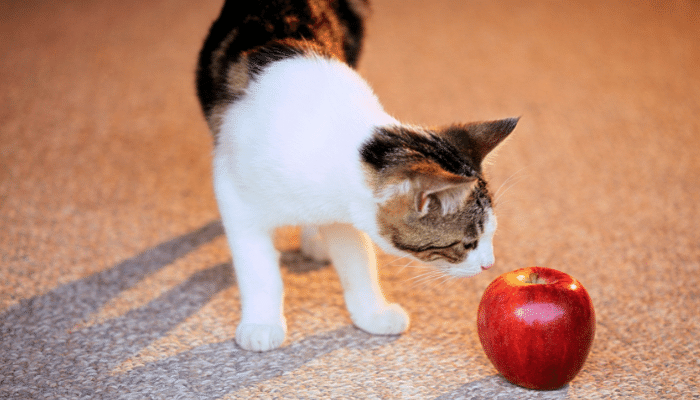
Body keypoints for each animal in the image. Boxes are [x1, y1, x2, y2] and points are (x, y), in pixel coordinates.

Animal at [194, 0, 516, 350]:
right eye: (468, 243)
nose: (489, 264)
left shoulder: (345, 212)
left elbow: (358, 261)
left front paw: (372, 313)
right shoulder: (231, 189)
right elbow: (258, 268)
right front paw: (261, 323)